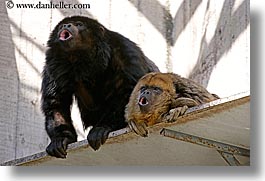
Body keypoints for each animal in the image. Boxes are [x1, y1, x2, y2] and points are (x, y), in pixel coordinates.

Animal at [40, 15, 158, 158]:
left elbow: (130, 92)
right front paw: (61, 138)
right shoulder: (52, 65)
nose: (66, 26)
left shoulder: (124, 50)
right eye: (61, 26)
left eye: (79, 24)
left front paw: (103, 127)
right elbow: (56, 103)